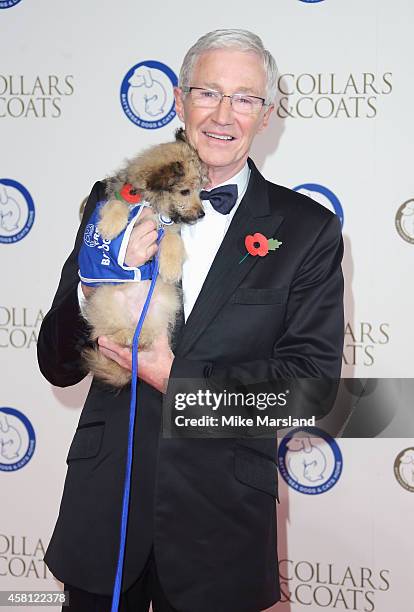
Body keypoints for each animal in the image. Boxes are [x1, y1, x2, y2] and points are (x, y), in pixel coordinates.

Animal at [83, 128, 209, 388]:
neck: (152, 204)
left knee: (149, 331)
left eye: (201, 190)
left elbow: (173, 240)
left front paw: (170, 266)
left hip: (162, 303)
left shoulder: (169, 229)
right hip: (105, 300)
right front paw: (110, 226)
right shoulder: (120, 200)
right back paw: (126, 335)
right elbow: (116, 205)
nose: (202, 213)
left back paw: (140, 338)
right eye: (185, 191)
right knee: (106, 332)